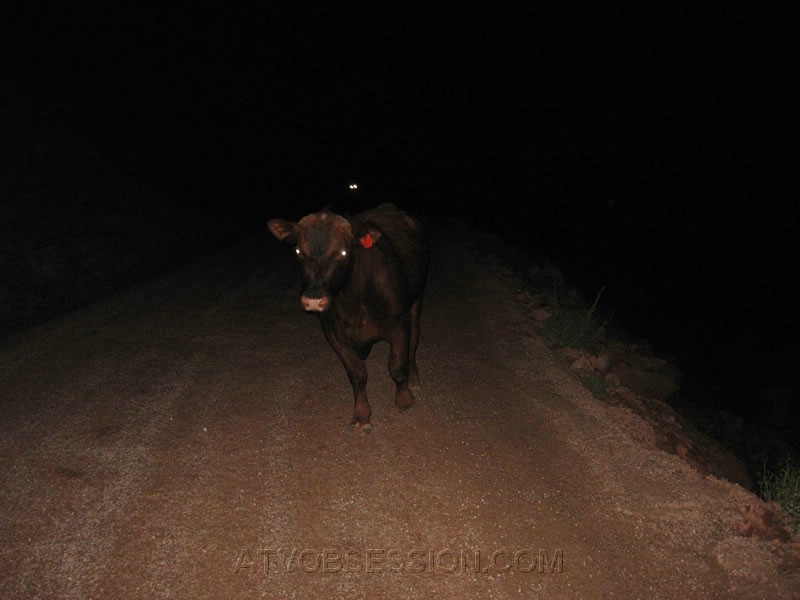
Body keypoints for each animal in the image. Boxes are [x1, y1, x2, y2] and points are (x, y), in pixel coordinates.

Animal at [268, 203, 429, 434]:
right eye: (298, 251)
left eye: (343, 252)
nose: (314, 300)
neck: (353, 300)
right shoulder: (334, 334)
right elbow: (357, 374)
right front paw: (362, 415)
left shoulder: (399, 323)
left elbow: (397, 365)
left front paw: (404, 398)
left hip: (417, 300)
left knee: (414, 343)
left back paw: (414, 379)